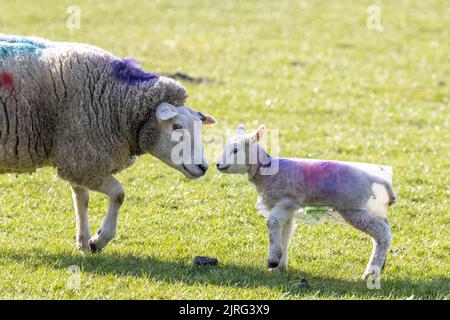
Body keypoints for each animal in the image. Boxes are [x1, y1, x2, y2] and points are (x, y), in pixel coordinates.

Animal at [0, 35, 218, 254]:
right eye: (176, 126)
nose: (203, 167)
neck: (116, 102)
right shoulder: (84, 160)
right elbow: (118, 194)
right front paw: (99, 240)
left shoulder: (77, 155)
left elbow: (81, 198)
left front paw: (84, 242)